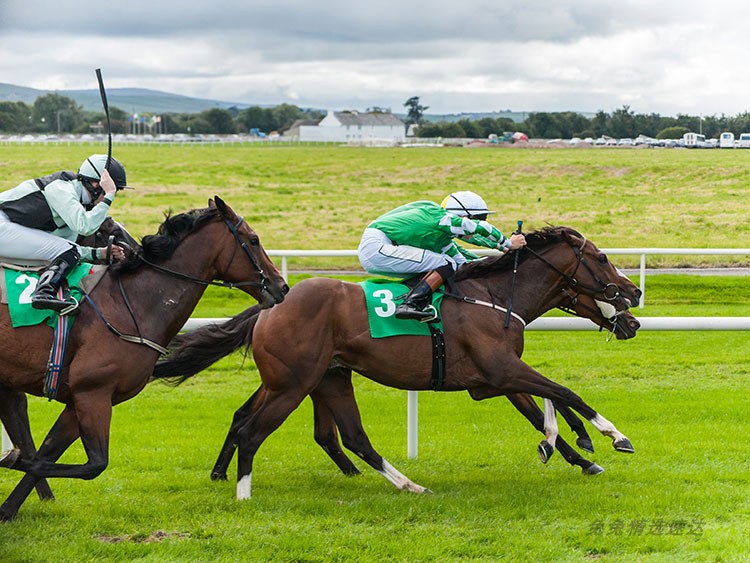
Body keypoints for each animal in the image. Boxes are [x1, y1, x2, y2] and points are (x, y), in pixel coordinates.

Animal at [0, 197, 288, 520]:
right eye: (253, 240)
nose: (281, 286)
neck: (134, 303)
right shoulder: (93, 393)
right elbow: (93, 465)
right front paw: (11, 459)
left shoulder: (80, 400)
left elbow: (47, 453)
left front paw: (7, 508)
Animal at [156, 225, 644, 498]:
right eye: (602, 258)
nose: (634, 297)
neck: (493, 296)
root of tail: (271, 304)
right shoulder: (501, 370)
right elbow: (565, 392)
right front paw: (612, 436)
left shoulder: (494, 380)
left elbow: (545, 406)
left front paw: (576, 452)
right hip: (291, 383)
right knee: (254, 430)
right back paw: (243, 494)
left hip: (325, 377)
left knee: (342, 435)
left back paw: (405, 484)